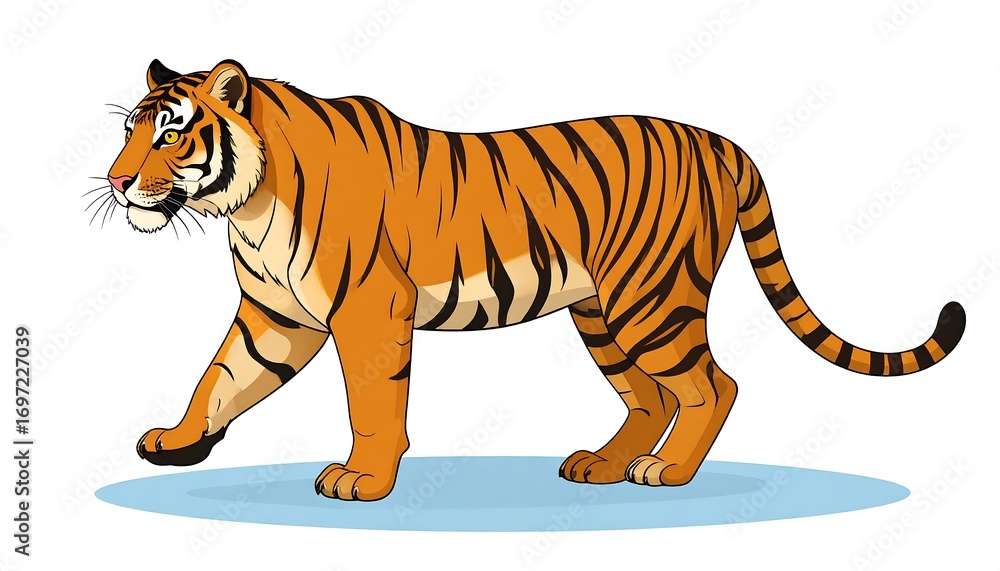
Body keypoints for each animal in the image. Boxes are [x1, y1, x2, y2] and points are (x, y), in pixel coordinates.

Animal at [103, 59, 965, 501]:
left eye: (170, 135)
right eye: (129, 130)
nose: (115, 182)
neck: (246, 204)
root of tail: (725, 144)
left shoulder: (369, 311)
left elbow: (374, 405)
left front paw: (363, 478)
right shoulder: (274, 316)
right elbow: (218, 377)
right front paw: (177, 440)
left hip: (652, 300)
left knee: (711, 386)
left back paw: (669, 471)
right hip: (603, 313)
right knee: (651, 396)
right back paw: (604, 465)